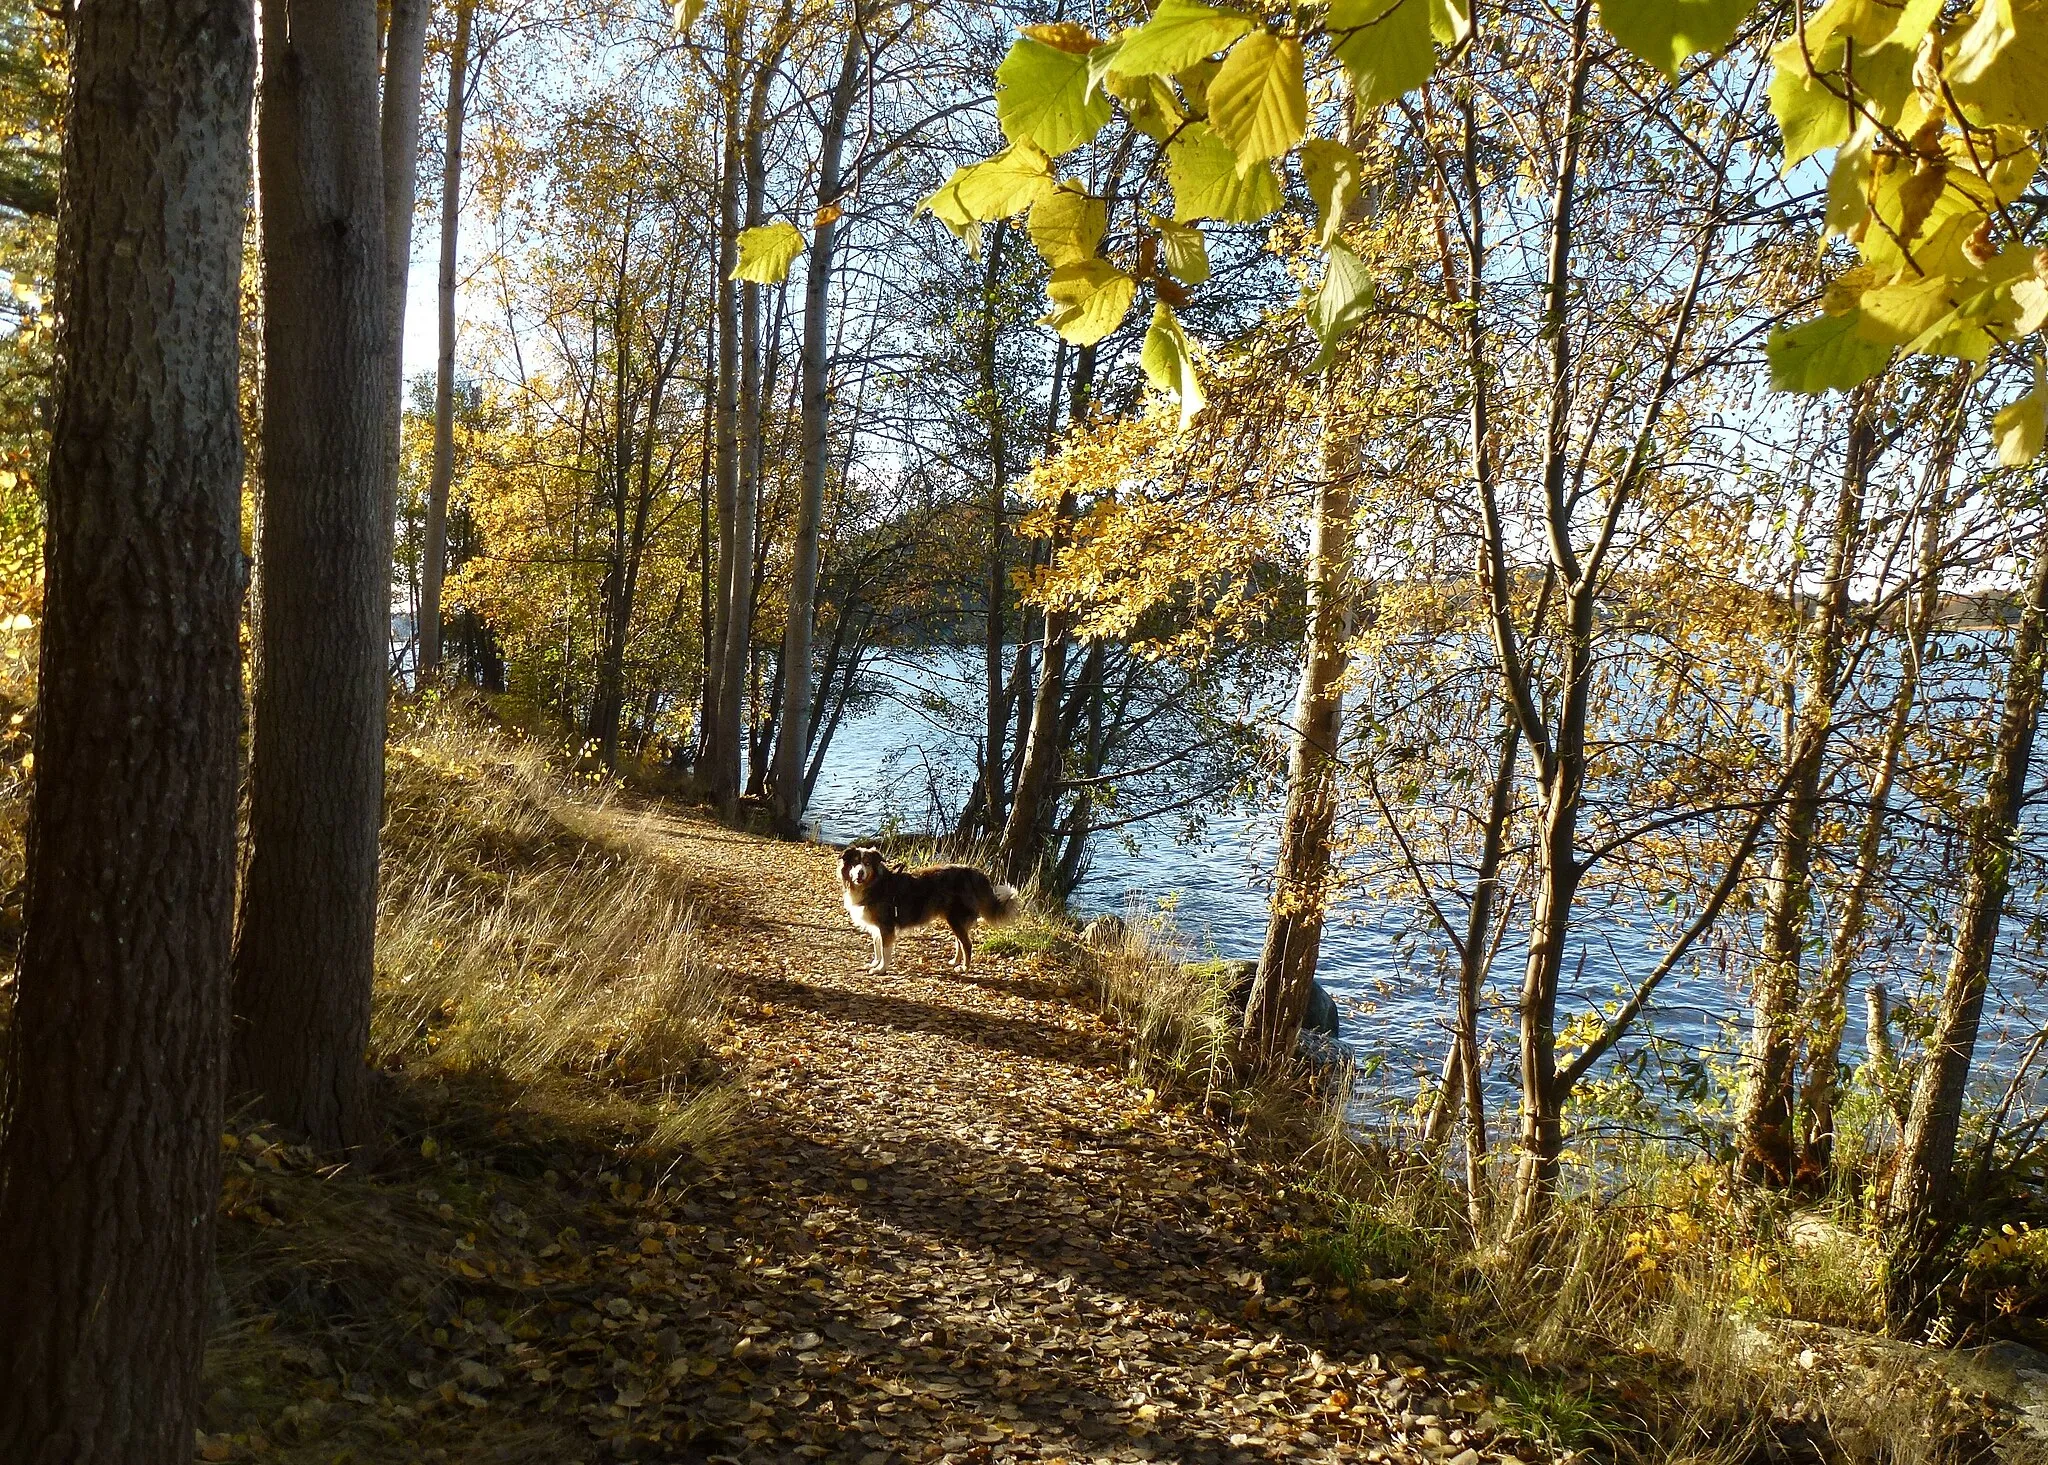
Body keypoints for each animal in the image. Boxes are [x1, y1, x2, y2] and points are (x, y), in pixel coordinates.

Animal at [835, 844, 1019, 979]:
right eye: (855, 863)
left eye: (867, 863)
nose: (860, 873)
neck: (875, 884)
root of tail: (974, 873)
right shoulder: (877, 927)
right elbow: (877, 948)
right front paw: (875, 963)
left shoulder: (886, 925)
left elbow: (885, 950)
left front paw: (881, 969)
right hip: (955, 920)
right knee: (960, 942)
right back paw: (955, 962)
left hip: (956, 918)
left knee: (967, 944)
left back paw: (964, 968)